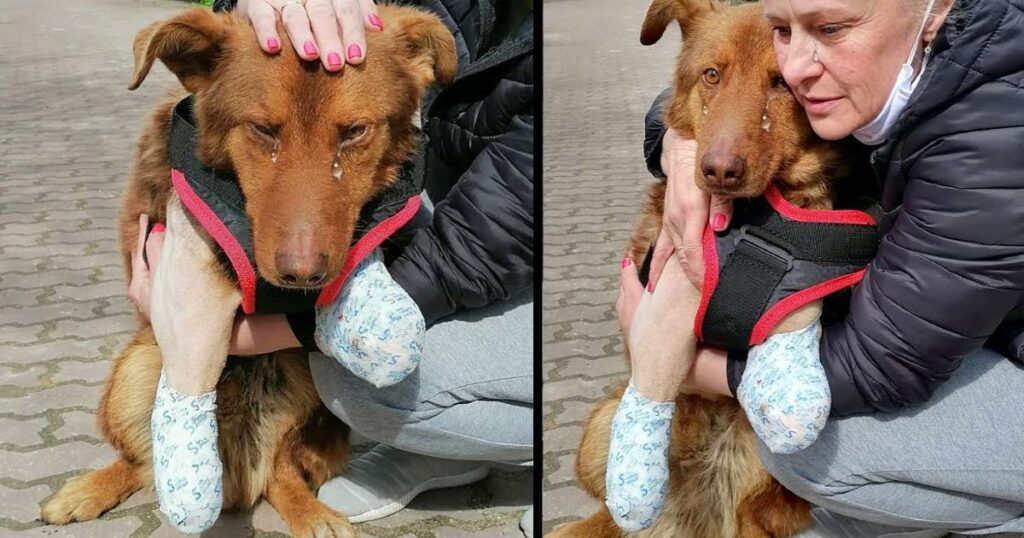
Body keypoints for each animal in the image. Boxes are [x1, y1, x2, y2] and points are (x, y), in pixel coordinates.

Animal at [39, 5, 454, 536]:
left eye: (354, 132)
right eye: (262, 130)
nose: (302, 276)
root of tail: (239, 469)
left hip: (306, 394)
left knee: (282, 471)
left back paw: (313, 513)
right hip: (136, 370)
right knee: (141, 461)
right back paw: (93, 490)